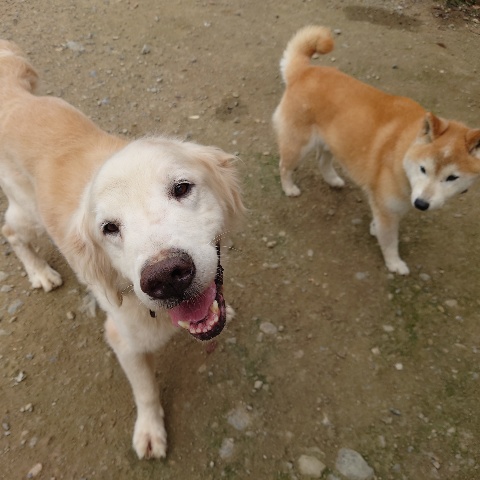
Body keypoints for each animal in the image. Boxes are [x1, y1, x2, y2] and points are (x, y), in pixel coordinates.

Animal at [0, 40, 244, 459]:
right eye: (109, 229)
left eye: (182, 188)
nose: (167, 276)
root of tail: (15, 95)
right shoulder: (123, 340)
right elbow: (145, 391)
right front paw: (150, 431)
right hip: (27, 213)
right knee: (9, 230)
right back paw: (39, 272)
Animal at [273, 26, 480, 275]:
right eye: (423, 169)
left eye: (452, 177)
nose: (421, 204)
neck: (402, 149)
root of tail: (304, 71)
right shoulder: (389, 212)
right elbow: (390, 241)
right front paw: (395, 264)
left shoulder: (387, 205)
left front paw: (374, 228)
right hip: (298, 146)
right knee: (284, 166)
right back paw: (289, 188)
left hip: (335, 141)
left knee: (322, 161)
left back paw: (333, 180)